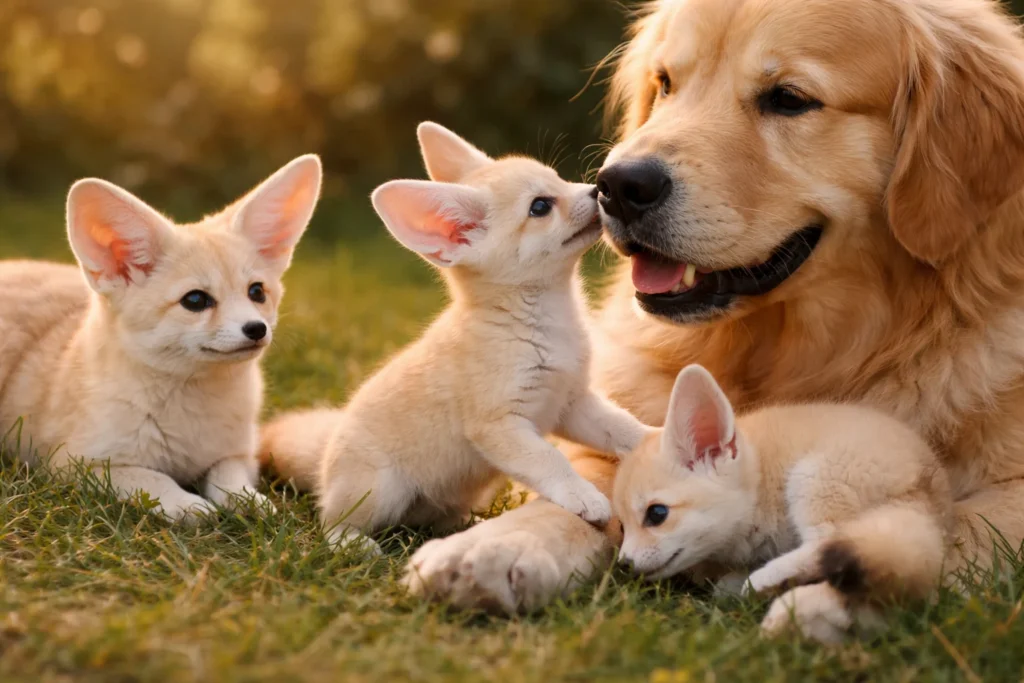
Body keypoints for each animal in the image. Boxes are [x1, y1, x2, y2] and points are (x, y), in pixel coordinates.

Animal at [0, 155, 322, 522]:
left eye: (257, 292)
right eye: (195, 300)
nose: (256, 329)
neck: (191, 410)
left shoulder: (239, 454)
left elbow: (227, 478)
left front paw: (249, 501)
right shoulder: (77, 465)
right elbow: (153, 478)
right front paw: (187, 504)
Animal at [260, 122, 650, 554]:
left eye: (560, 180)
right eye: (540, 207)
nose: (599, 189)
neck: (541, 323)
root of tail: (327, 454)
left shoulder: (571, 404)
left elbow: (623, 427)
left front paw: (661, 439)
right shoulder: (499, 426)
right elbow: (550, 460)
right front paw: (583, 496)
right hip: (378, 490)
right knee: (330, 522)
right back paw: (352, 543)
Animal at [613, 364, 953, 643]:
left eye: (657, 514)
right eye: (622, 526)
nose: (623, 564)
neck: (760, 482)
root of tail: (927, 483)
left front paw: (751, 579)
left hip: (812, 479)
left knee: (826, 542)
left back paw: (763, 580)